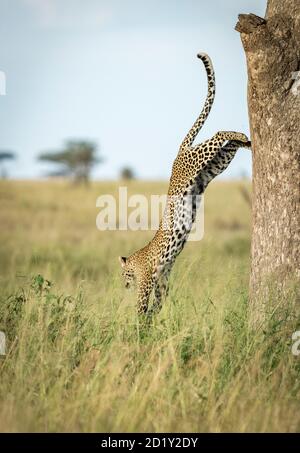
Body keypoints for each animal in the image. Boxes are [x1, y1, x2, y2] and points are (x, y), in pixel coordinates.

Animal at [118, 52, 250, 314]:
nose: (124, 285)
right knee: (226, 147)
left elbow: (141, 305)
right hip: (212, 168)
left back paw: (239, 135)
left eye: (125, 275)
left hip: (196, 158)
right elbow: (158, 302)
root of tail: (179, 153)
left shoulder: (146, 280)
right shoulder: (162, 279)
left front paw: (139, 321)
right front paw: (153, 317)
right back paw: (245, 139)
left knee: (217, 134)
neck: (137, 259)